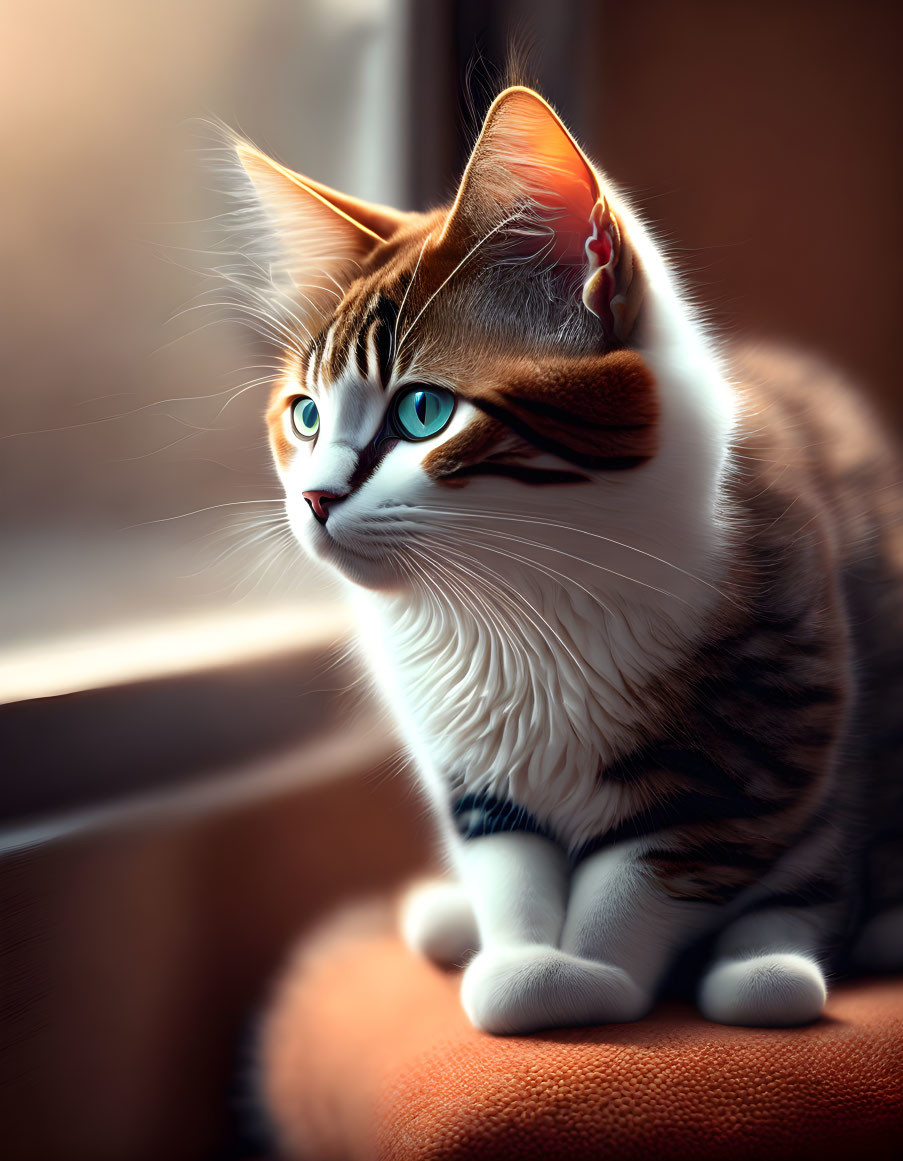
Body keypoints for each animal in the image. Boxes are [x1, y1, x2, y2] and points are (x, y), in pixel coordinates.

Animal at [222, 90, 900, 1035]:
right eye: (306, 415)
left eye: (423, 412)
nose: (315, 499)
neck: (514, 598)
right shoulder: (467, 759)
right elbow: (509, 862)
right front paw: (522, 954)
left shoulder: (762, 722)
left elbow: (652, 865)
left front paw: (585, 975)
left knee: (818, 877)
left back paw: (774, 963)